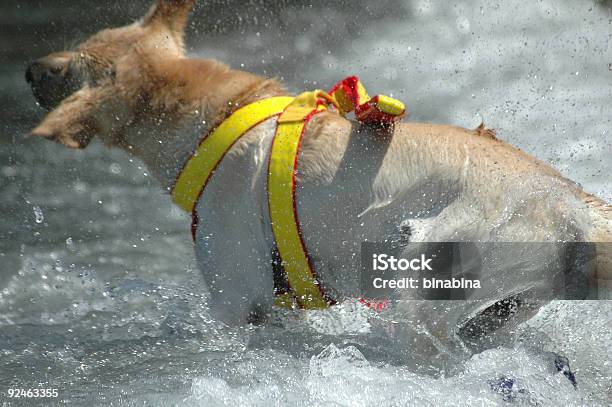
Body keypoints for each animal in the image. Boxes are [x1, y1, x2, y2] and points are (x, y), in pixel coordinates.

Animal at [22, 0, 608, 364]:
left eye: (68, 68)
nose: (29, 67)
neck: (218, 121)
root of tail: (574, 205)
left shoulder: (237, 303)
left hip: (426, 279)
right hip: (501, 306)